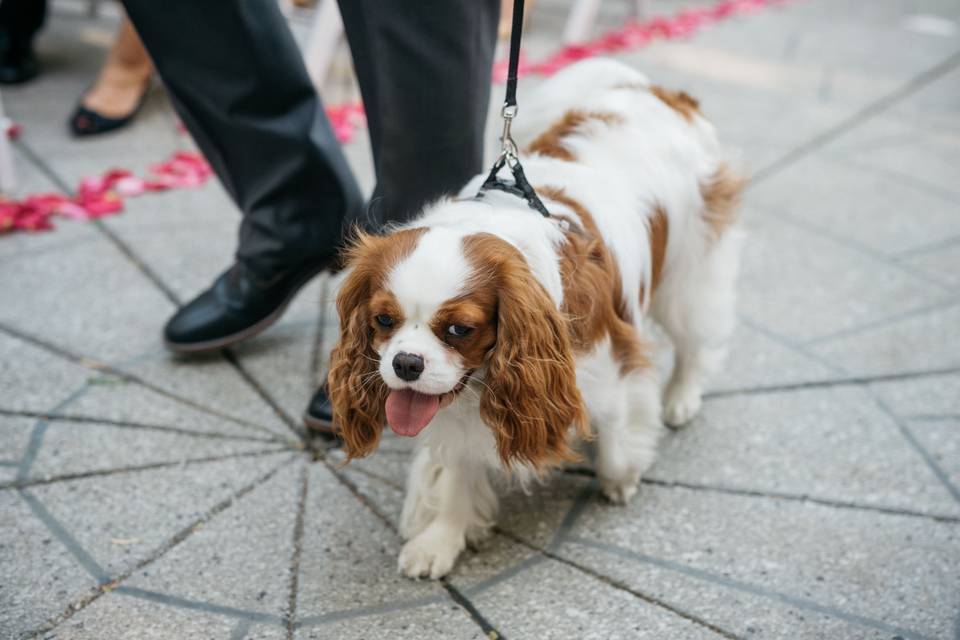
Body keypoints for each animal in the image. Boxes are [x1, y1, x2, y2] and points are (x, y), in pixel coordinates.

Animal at [326, 60, 748, 580]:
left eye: (459, 329)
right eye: (384, 320)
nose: (406, 364)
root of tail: (654, 91)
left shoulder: (611, 372)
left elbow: (616, 442)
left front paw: (623, 476)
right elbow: (456, 472)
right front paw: (442, 537)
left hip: (689, 272)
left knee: (694, 338)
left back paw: (681, 397)